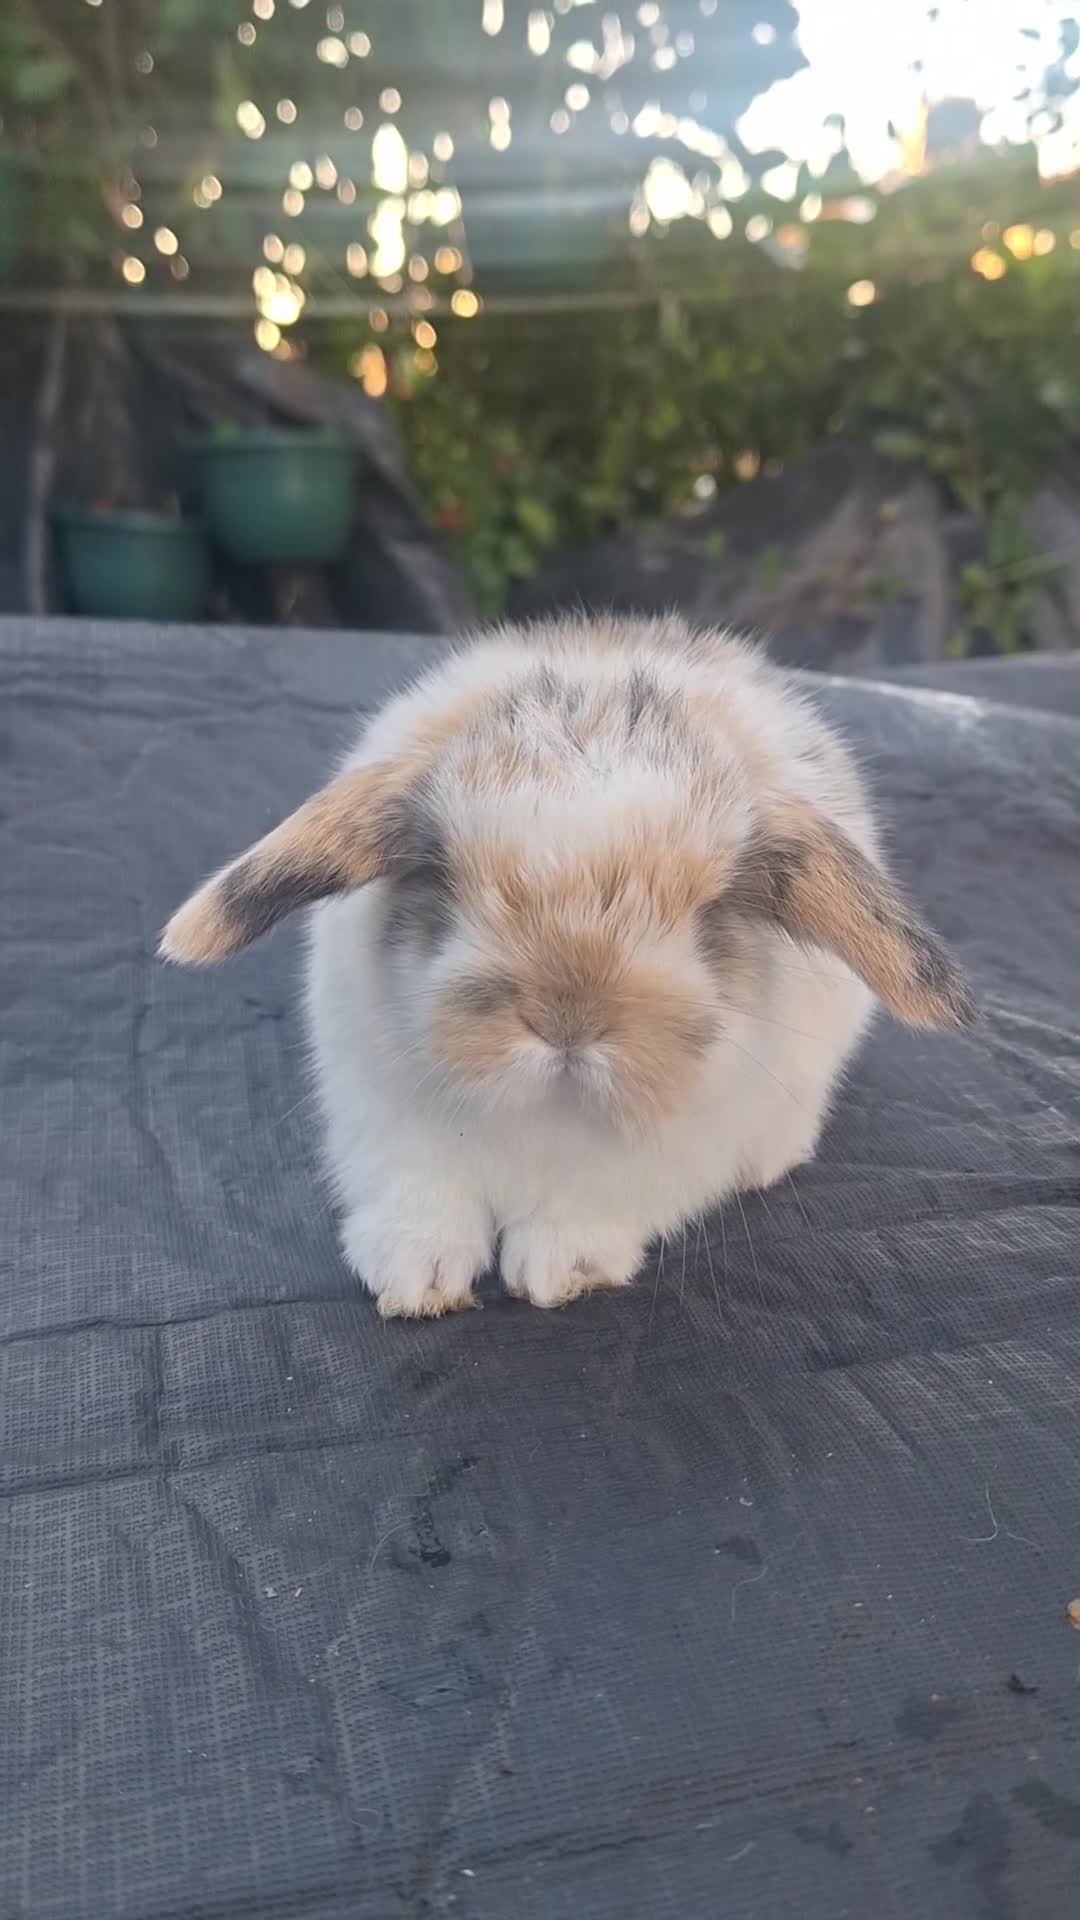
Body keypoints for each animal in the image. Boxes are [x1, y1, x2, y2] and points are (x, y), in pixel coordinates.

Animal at [161, 615, 974, 1318]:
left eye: (711, 911)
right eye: (442, 877)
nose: (567, 1019)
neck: (546, 1114)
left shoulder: (673, 1156)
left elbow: (594, 1211)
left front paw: (557, 1269)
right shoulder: (382, 1119)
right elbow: (421, 1198)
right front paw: (415, 1276)